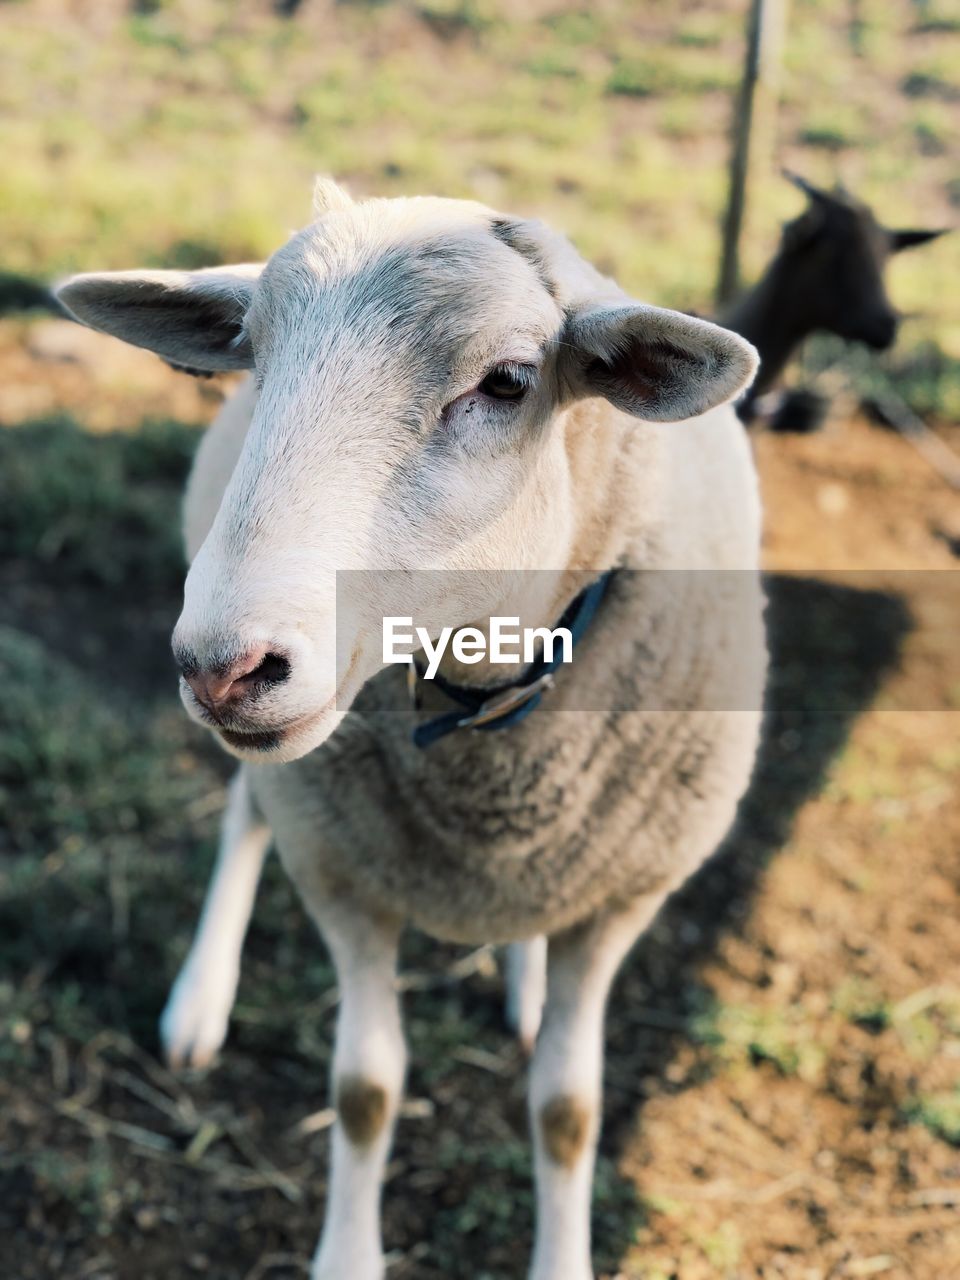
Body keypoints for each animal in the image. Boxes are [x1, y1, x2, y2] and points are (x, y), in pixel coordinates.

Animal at [58, 183, 768, 1280]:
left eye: (509, 382)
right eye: (253, 356)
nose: (222, 666)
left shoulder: (620, 900)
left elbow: (569, 1112)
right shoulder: (338, 869)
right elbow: (365, 1092)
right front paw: (348, 1253)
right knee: (243, 813)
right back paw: (199, 1000)